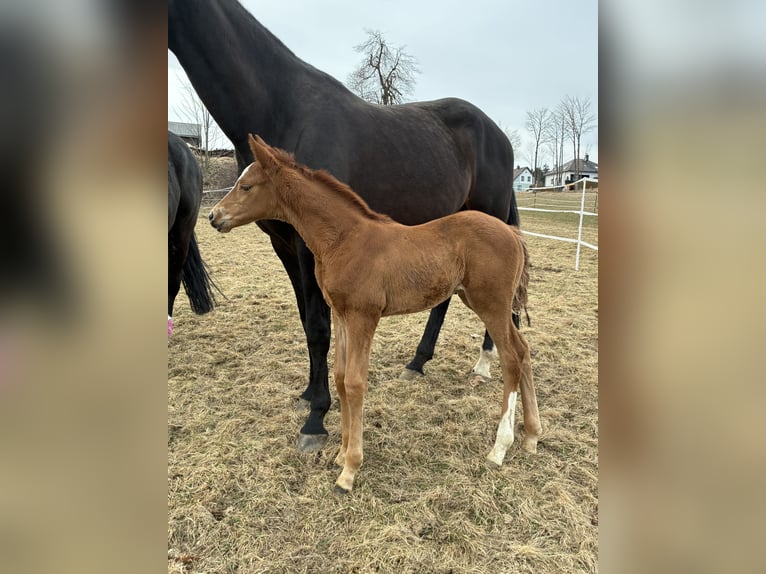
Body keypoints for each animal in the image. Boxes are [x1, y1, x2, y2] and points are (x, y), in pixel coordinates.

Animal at [169, 0, 521, 452]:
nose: (215, 217)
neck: (284, 106)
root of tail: (498, 134)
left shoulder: (310, 247)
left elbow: (320, 328)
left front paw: (316, 421)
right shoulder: (287, 247)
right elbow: (307, 321)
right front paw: (308, 395)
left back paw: (484, 362)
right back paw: (417, 361)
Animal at [210, 135, 541, 493]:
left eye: (246, 186)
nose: (214, 216)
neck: (344, 239)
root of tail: (512, 233)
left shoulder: (363, 317)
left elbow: (355, 382)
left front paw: (349, 470)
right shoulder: (341, 315)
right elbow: (340, 378)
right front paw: (340, 455)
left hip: (490, 304)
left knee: (512, 358)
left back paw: (499, 448)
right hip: (482, 302)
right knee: (524, 350)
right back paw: (532, 436)